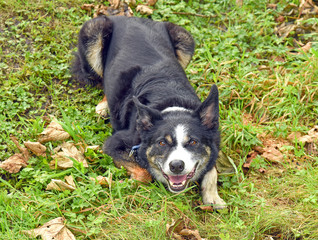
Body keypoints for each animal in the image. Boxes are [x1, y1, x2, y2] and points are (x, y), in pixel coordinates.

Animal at [72, 15, 226, 209]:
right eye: (161, 143)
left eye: (193, 142)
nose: (177, 166)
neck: (172, 104)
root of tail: (127, 17)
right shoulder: (113, 144)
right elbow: (144, 173)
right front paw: (122, 183)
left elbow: (212, 168)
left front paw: (213, 197)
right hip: (93, 33)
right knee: (101, 79)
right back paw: (104, 105)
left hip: (185, 39)